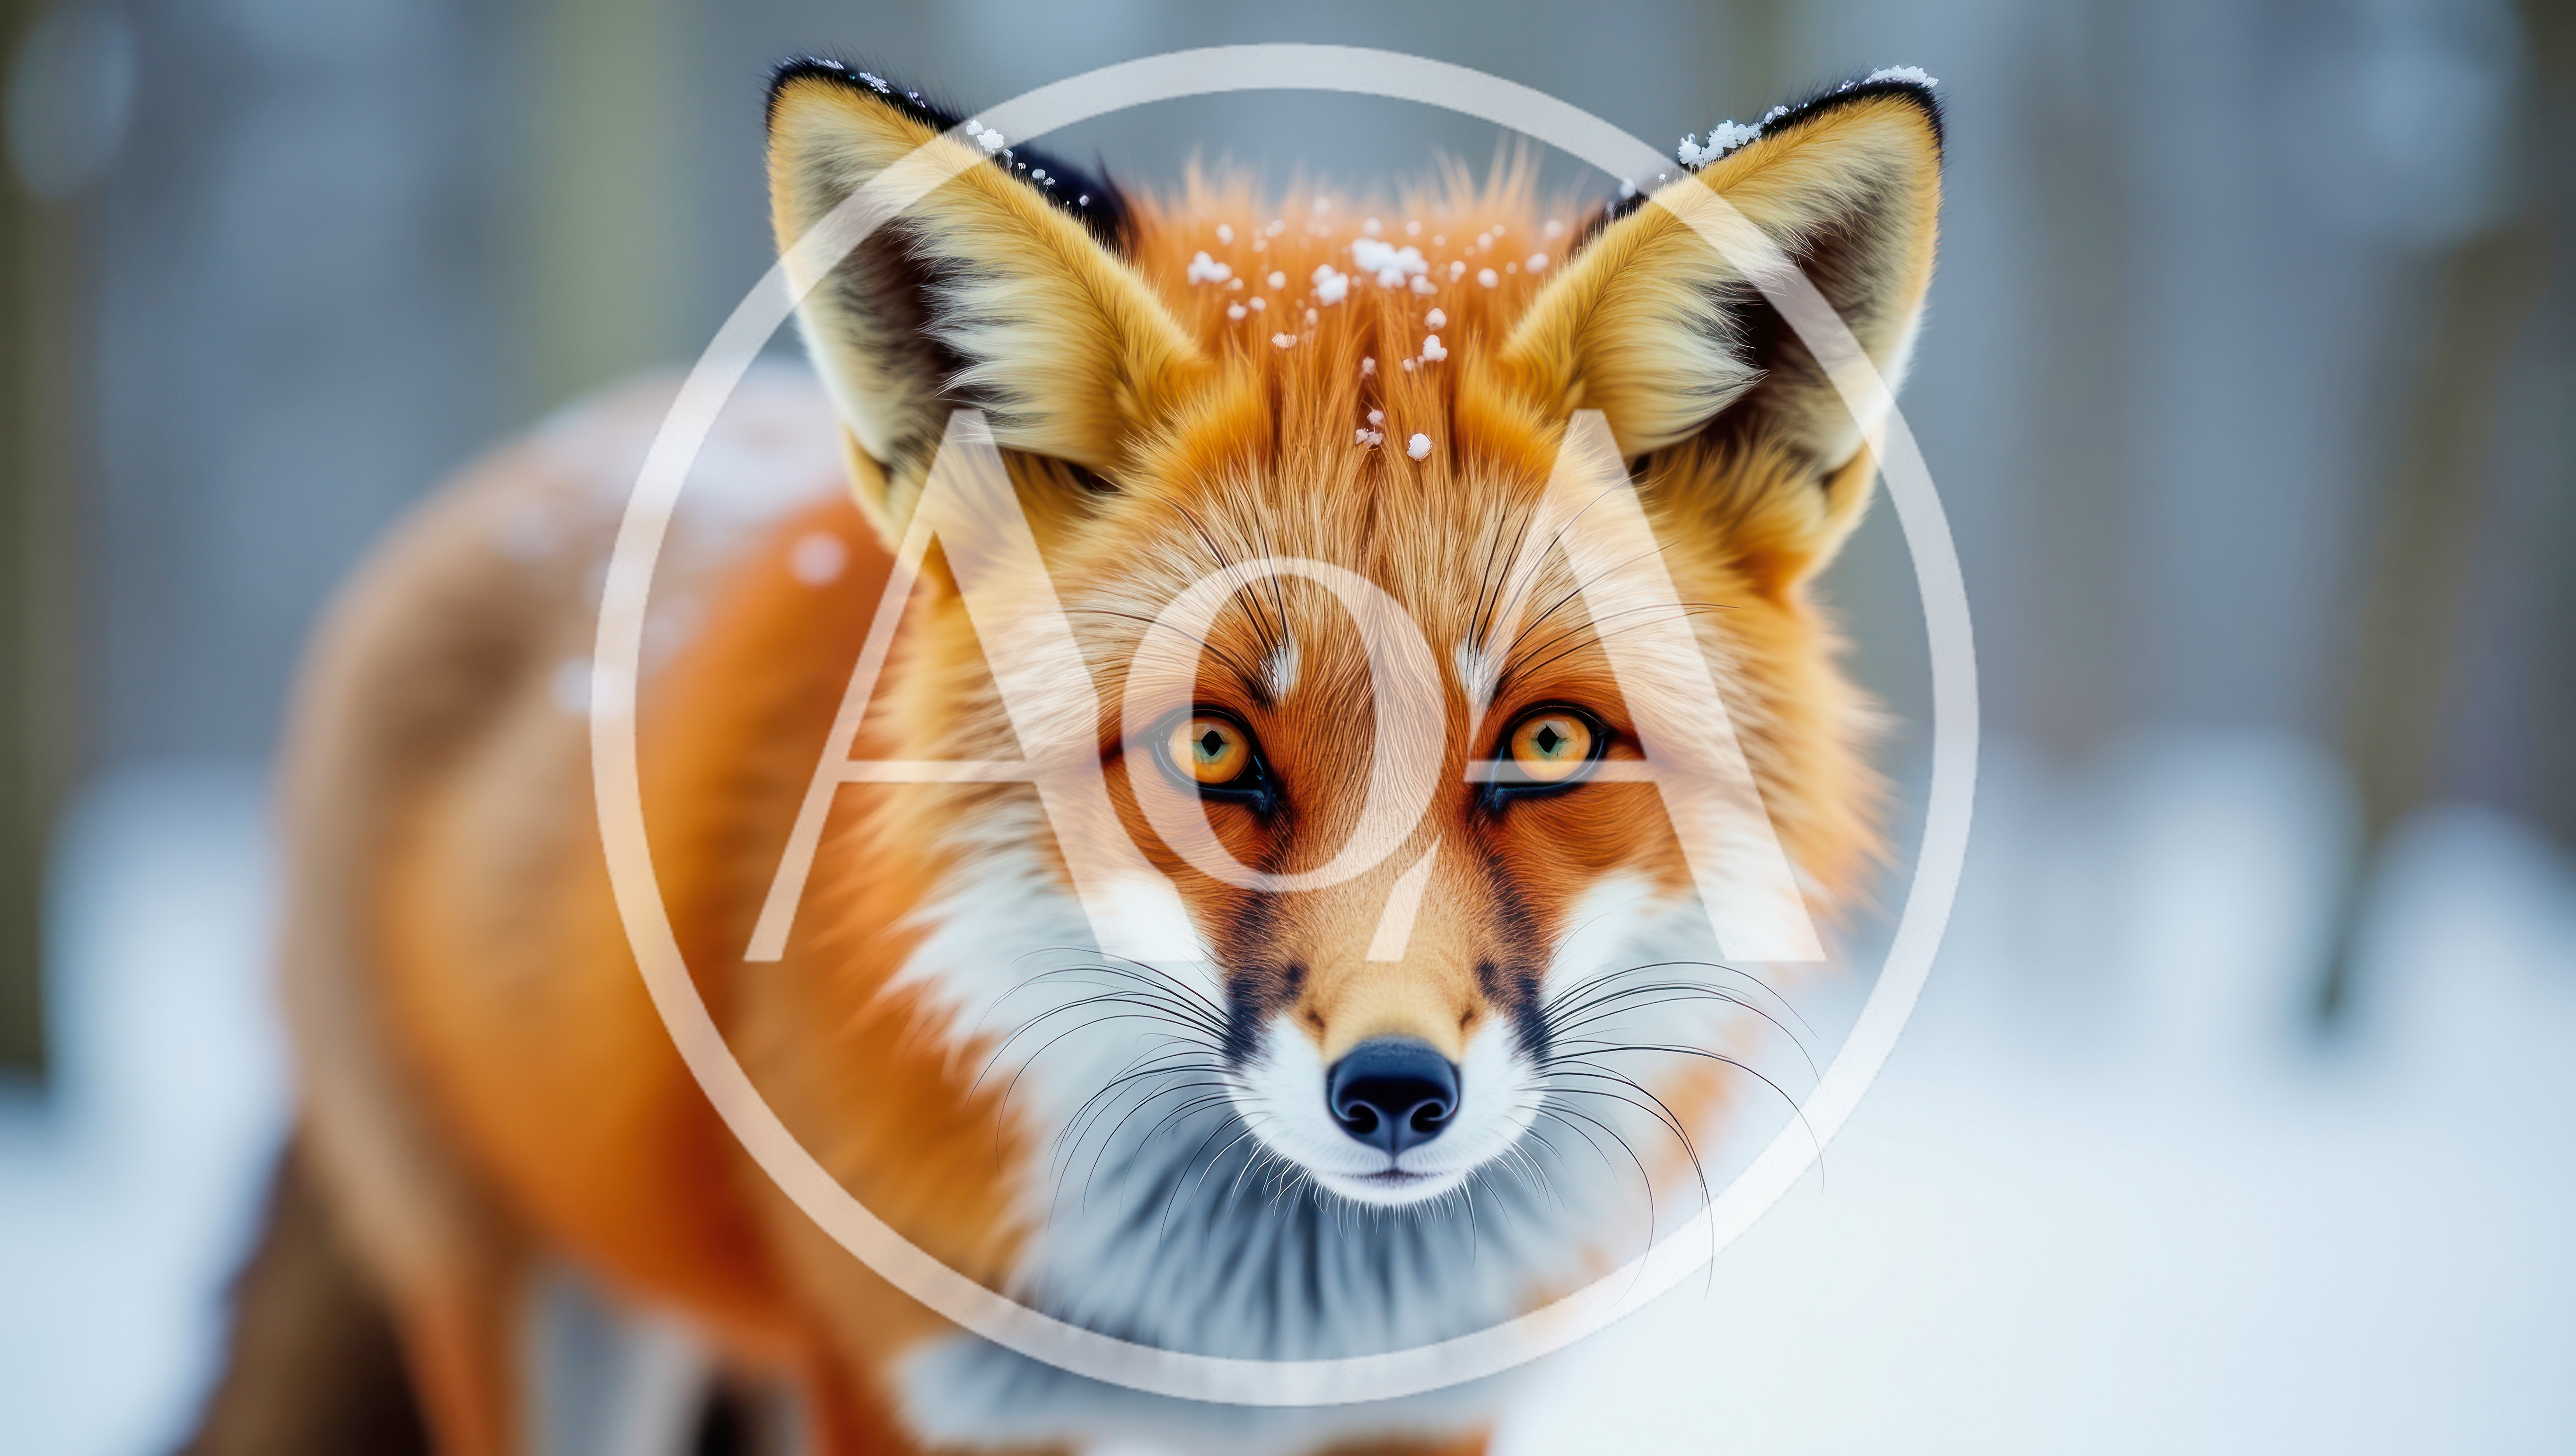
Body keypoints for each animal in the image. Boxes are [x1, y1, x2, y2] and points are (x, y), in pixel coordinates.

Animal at [191, 57, 1941, 1456]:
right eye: (1210, 742)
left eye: (1550, 739)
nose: (1392, 1090)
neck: (1254, 1332)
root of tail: (536, 460)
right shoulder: (911, 1386)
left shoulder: (1418, 1407)